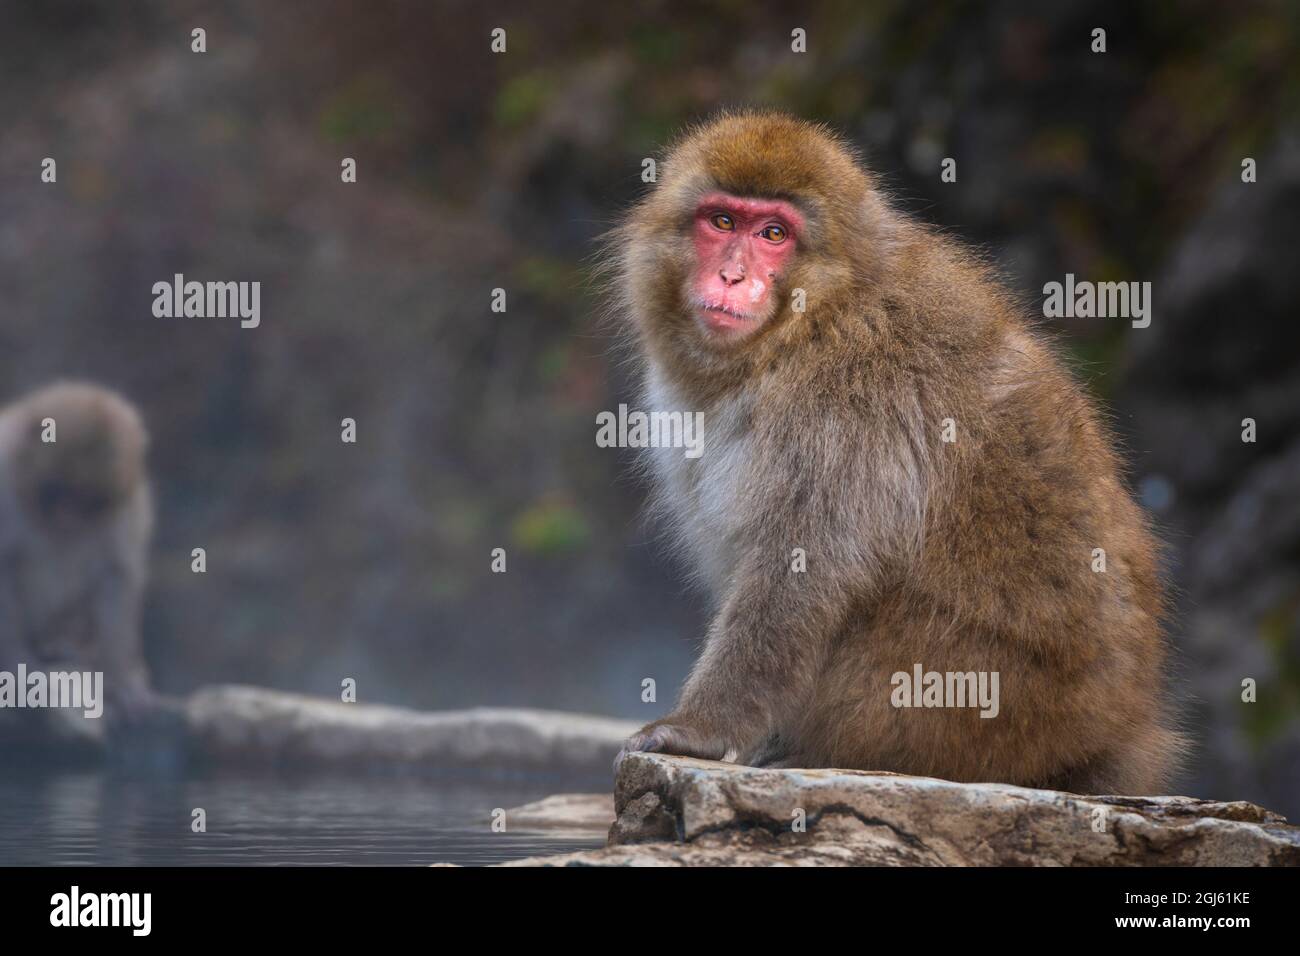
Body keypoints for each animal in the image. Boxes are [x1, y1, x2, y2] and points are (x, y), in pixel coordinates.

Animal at [0, 382, 154, 717]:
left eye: (90, 501)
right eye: (57, 489)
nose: (67, 518)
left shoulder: (128, 504)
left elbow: (116, 574)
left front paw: (118, 676)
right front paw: (16, 663)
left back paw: (66, 646)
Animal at [603, 111, 1185, 796]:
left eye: (774, 234)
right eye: (722, 221)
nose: (732, 277)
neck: (807, 323)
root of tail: (1118, 737)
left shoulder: (846, 403)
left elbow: (802, 568)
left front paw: (701, 727)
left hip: (970, 699)